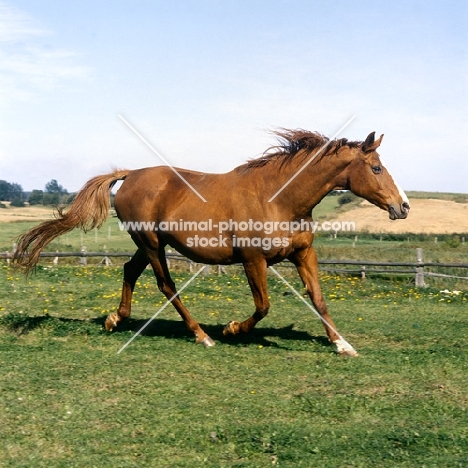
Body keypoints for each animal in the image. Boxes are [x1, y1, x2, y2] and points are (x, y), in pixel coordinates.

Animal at [14, 128, 410, 354]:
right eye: (376, 168)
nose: (403, 206)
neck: (279, 198)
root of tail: (129, 175)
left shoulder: (303, 254)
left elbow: (318, 299)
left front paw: (342, 344)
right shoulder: (253, 260)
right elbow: (263, 306)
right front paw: (231, 329)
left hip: (147, 244)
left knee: (129, 271)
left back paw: (115, 320)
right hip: (153, 245)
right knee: (165, 285)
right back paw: (202, 335)